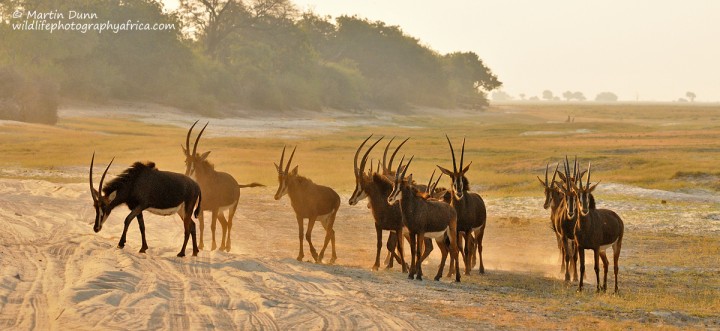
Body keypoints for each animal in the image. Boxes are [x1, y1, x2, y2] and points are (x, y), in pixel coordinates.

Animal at [183, 121, 264, 252]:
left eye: (195, 163)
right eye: (186, 161)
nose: (187, 175)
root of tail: (236, 183)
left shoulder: (215, 209)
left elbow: (212, 226)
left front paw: (213, 246)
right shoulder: (201, 209)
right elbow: (202, 226)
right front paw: (201, 245)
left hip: (232, 208)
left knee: (229, 223)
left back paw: (227, 246)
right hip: (221, 211)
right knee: (225, 224)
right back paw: (222, 246)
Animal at [436, 135, 486, 274]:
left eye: (462, 175)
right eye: (451, 176)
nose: (458, 191)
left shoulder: (468, 229)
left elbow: (466, 249)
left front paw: (467, 271)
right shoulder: (457, 230)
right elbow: (457, 248)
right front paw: (455, 271)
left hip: (480, 229)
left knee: (479, 245)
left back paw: (481, 269)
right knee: (472, 244)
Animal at [564, 163, 624, 294]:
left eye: (587, 195)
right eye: (578, 195)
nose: (585, 210)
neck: (585, 228)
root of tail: (617, 217)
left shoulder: (595, 248)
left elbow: (596, 267)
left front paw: (597, 288)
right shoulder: (581, 247)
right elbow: (582, 267)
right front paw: (580, 287)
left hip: (616, 245)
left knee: (615, 266)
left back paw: (615, 289)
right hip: (602, 250)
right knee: (606, 264)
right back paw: (604, 287)